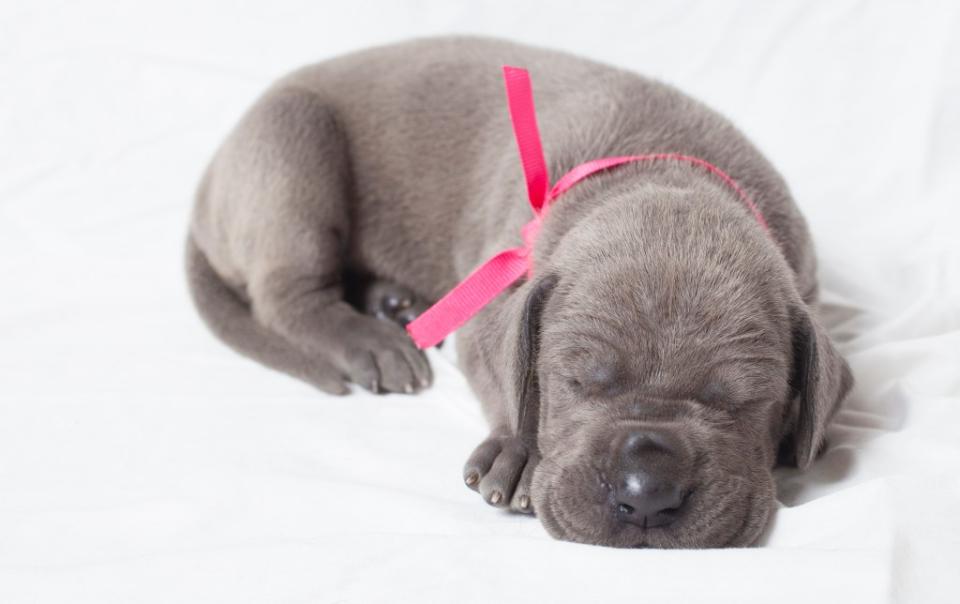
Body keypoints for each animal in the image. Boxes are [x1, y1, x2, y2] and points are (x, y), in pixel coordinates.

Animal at [188, 36, 856, 548]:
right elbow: (510, 380)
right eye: (576, 383)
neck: (664, 168)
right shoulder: (494, 303)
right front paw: (520, 453)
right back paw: (370, 341)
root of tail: (205, 188)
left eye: (744, 402)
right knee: (288, 295)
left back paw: (391, 301)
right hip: (292, 149)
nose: (646, 493)